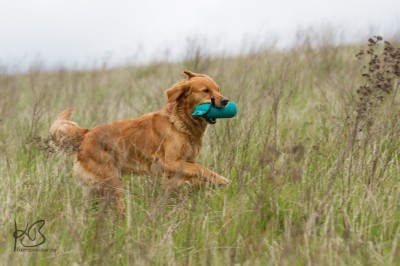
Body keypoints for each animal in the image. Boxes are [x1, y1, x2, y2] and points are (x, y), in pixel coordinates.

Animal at [50, 70, 231, 216]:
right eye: (206, 91)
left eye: (218, 89)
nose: (226, 101)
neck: (180, 123)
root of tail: (87, 134)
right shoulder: (170, 162)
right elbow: (201, 168)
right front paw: (222, 180)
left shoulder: (184, 164)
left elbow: (194, 175)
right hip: (111, 179)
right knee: (118, 207)